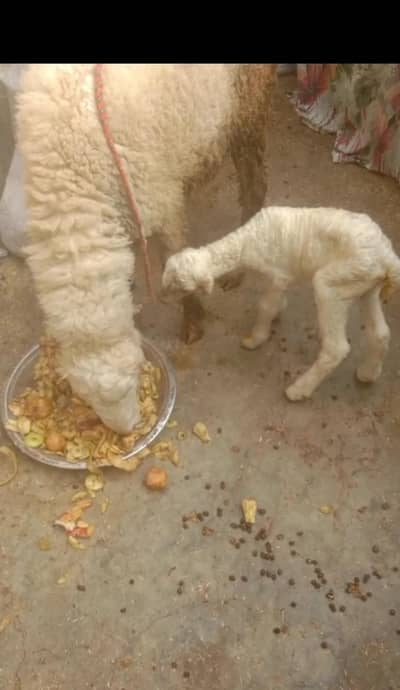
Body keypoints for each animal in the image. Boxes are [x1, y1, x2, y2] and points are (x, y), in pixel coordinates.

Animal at [16, 64, 276, 433]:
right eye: (87, 398)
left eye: (132, 382)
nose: (126, 430)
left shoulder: (160, 200)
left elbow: (175, 259)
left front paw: (193, 322)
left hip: (245, 109)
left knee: (255, 188)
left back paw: (239, 270)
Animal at [161, 206, 400, 400]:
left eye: (179, 286)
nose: (161, 298)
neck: (246, 242)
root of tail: (388, 257)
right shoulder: (283, 278)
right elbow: (274, 301)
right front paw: (278, 311)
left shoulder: (278, 276)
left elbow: (265, 306)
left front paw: (256, 338)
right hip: (366, 285)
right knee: (380, 333)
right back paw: (368, 374)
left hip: (334, 284)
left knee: (336, 348)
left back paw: (299, 390)